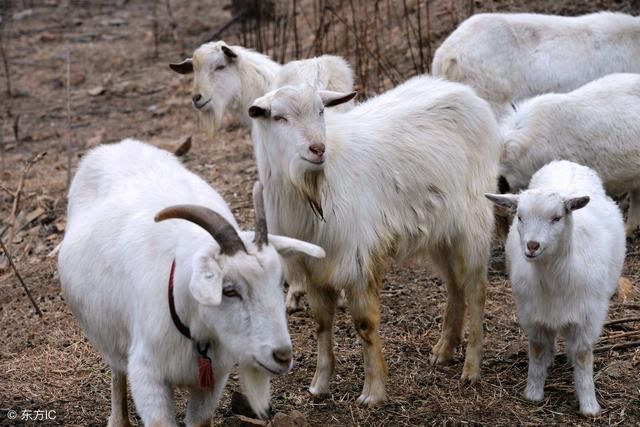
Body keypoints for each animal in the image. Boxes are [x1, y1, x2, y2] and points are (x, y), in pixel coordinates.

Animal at [58, 139, 324, 426]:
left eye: (279, 283)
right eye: (229, 290)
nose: (282, 356)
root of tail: (116, 145)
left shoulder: (213, 378)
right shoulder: (148, 376)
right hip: (108, 333)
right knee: (117, 371)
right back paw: (118, 419)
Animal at [248, 77, 502, 408]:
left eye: (321, 111)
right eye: (279, 117)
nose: (318, 149)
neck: (314, 187)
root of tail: (469, 94)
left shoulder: (357, 259)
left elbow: (365, 324)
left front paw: (374, 391)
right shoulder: (315, 266)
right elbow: (321, 323)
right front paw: (319, 385)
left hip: (473, 225)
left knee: (475, 290)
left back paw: (471, 368)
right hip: (442, 234)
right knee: (454, 286)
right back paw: (444, 350)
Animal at [484, 160, 624, 418]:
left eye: (557, 218)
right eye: (520, 217)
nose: (532, 246)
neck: (554, 280)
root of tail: (566, 162)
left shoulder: (587, 317)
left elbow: (583, 356)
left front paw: (590, 406)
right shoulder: (533, 313)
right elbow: (538, 349)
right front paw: (533, 393)